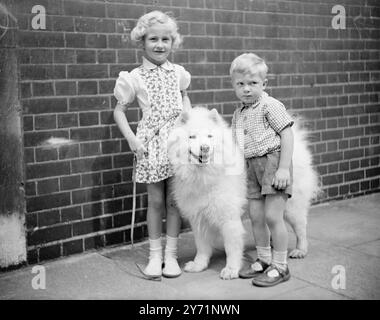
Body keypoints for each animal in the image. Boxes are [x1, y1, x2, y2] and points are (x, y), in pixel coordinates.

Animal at [168, 106, 320, 278]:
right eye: (191, 137)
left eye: (210, 136)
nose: (205, 148)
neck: (205, 174)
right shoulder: (199, 217)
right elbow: (202, 247)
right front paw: (199, 265)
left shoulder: (228, 217)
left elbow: (232, 247)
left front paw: (231, 269)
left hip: (290, 207)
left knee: (301, 227)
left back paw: (300, 250)